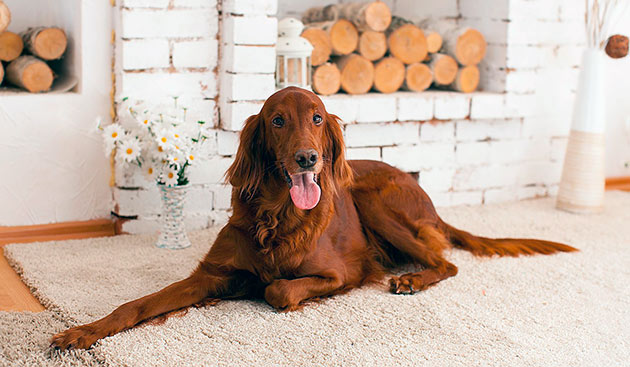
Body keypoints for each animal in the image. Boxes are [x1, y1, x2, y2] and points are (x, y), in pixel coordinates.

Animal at [51, 85, 580, 350]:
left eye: (319, 118)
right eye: (277, 120)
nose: (308, 158)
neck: (276, 215)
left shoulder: (342, 272)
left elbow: (280, 289)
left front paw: (269, 288)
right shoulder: (211, 274)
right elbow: (136, 305)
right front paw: (82, 332)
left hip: (375, 202)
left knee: (446, 262)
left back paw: (409, 280)